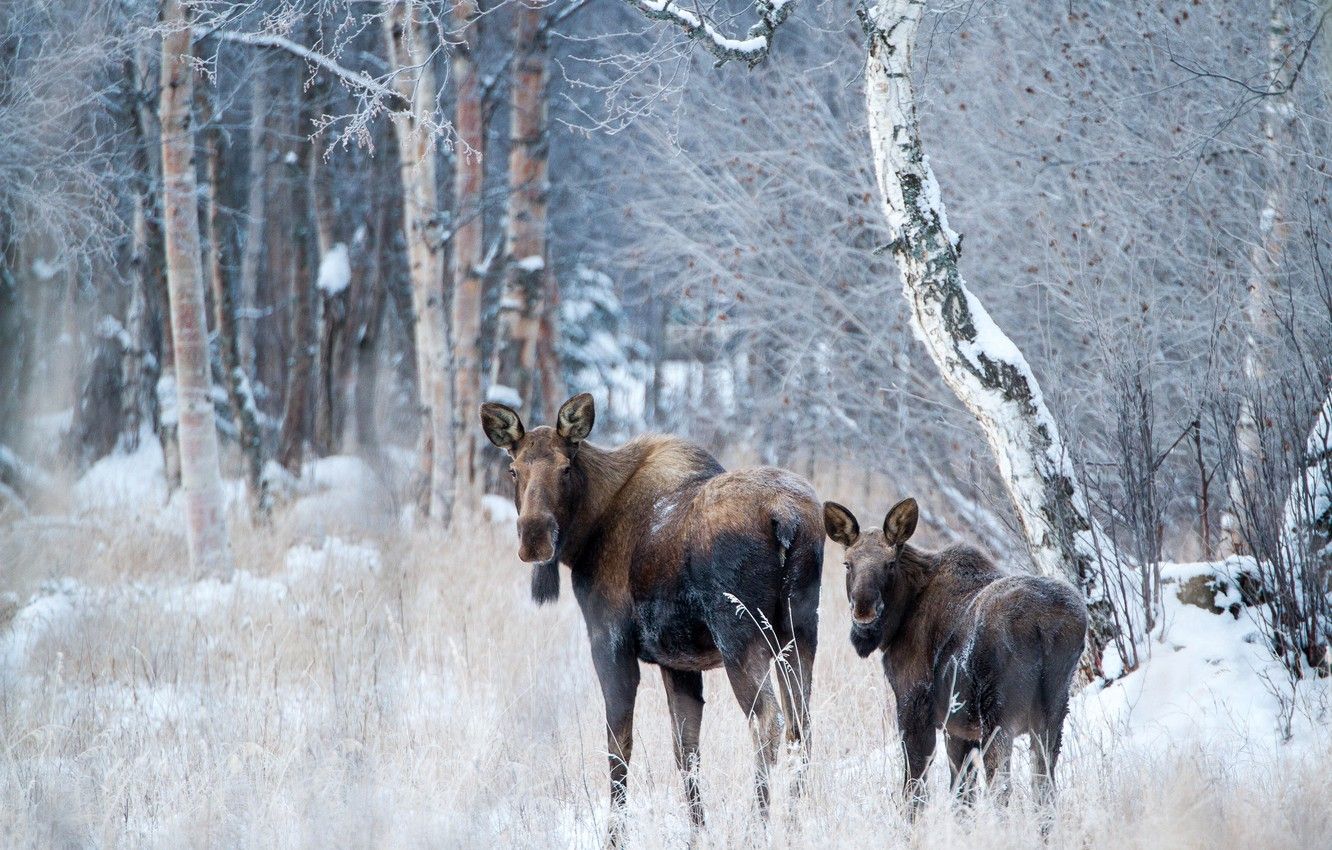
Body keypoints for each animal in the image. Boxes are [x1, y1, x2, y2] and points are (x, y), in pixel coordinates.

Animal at [479, 397, 820, 847]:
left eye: (565, 468)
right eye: (514, 469)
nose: (534, 537)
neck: (587, 532)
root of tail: (790, 518)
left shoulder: (610, 644)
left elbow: (619, 749)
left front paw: (614, 837)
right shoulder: (679, 662)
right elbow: (686, 751)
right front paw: (697, 834)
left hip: (741, 635)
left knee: (769, 722)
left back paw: (757, 830)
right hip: (800, 631)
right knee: (802, 725)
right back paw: (794, 827)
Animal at [820, 500, 1092, 810]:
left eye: (890, 564)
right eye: (848, 563)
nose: (864, 609)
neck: (901, 616)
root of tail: (1043, 627)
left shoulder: (915, 705)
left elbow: (915, 789)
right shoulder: (960, 729)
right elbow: (963, 797)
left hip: (1000, 715)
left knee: (1002, 789)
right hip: (1053, 713)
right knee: (1044, 788)